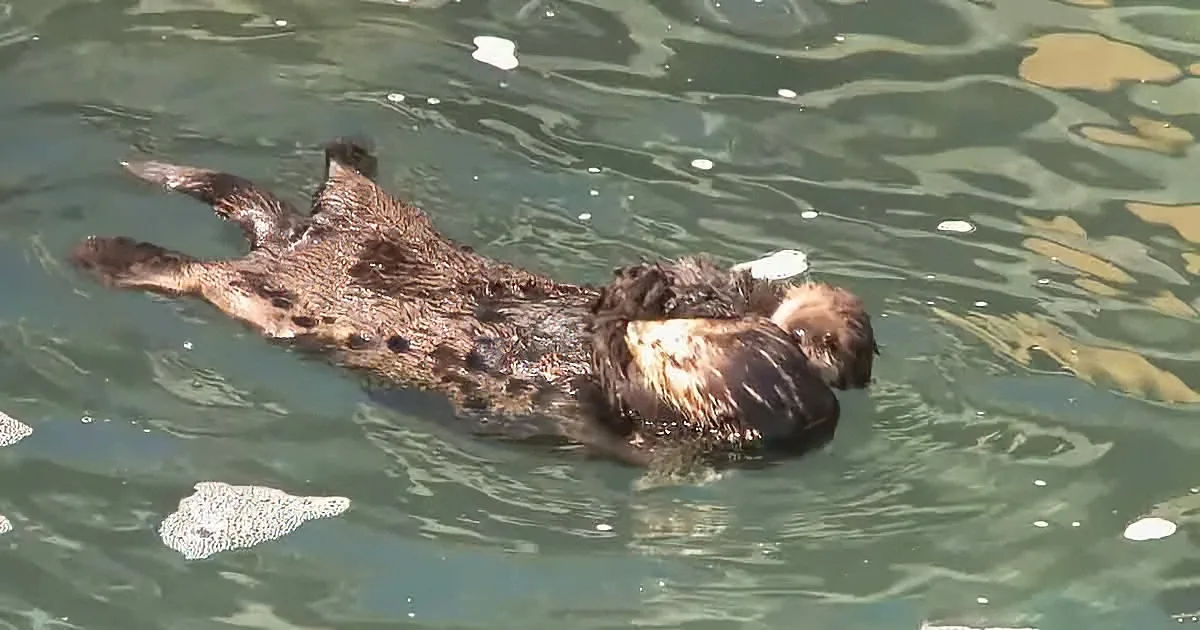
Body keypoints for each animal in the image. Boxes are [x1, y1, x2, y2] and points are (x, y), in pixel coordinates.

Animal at [68, 138, 878, 468]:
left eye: (679, 342)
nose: (657, 294)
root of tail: (290, 241)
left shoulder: (658, 418)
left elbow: (624, 383)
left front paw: (627, 302)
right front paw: (678, 277)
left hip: (253, 292)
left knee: (191, 272)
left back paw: (103, 249)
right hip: (377, 219)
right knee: (340, 181)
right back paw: (347, 149)